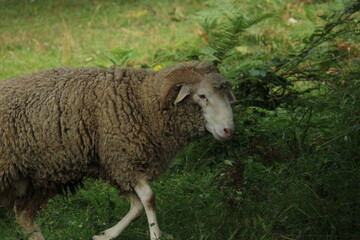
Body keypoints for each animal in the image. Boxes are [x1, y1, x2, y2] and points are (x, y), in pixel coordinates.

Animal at [0, 61, 236, 239]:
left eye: (227, 95)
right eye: (202, 96)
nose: (228, 130)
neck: (141, 102)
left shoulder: (118, 166)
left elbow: (138, 206)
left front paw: (105, 235)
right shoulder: (122, 159)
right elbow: (149, 199)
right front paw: (156, 235)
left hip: (36, 179)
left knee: (24, 216)